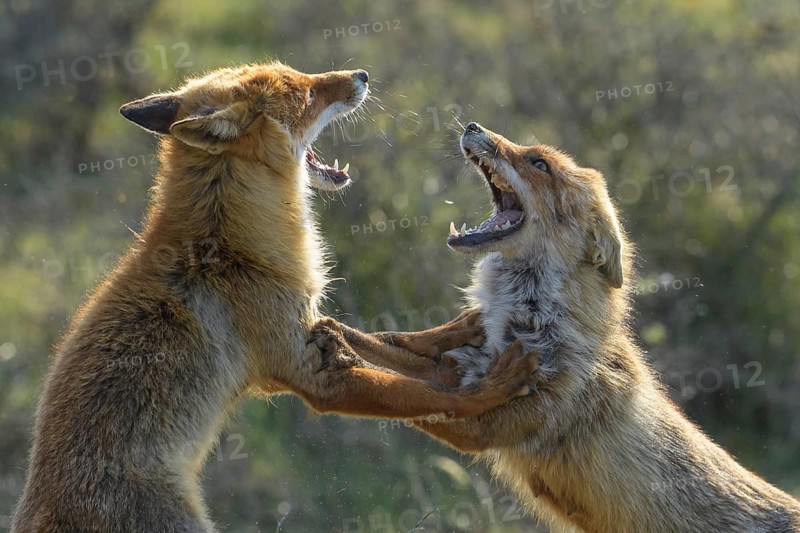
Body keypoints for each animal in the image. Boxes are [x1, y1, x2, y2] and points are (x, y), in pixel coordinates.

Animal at [10, 65, 538, 533]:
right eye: (306, 93)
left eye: (301, 75)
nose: (362, 75)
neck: (229, 242)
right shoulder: (309, 373)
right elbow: (427, 395)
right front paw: (492, 386)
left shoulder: (310, 324)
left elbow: (390, 339)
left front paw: (459, 330)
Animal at [322, 122, 800, 532]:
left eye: (539, 164)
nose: (472, 126)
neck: (533, 323)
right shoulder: (459, 371)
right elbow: (391, 359)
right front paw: (333, 332)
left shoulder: (490, 425)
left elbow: (414, 398)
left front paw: (334, 346)